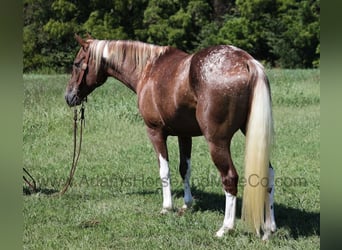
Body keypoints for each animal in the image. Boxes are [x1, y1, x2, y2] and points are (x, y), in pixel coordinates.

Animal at [65, 34, 276, 239]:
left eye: (76, 63)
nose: (69, 97)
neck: (148, 69)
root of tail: (246, 61)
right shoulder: (184, 135)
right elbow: (185, 169)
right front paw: (187, 204)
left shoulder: (155, 132)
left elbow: (164, 170)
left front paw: (167, 207)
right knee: (269, 173)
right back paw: (269, 227)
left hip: (217, 142)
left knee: (230, 178)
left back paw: (225, 228)